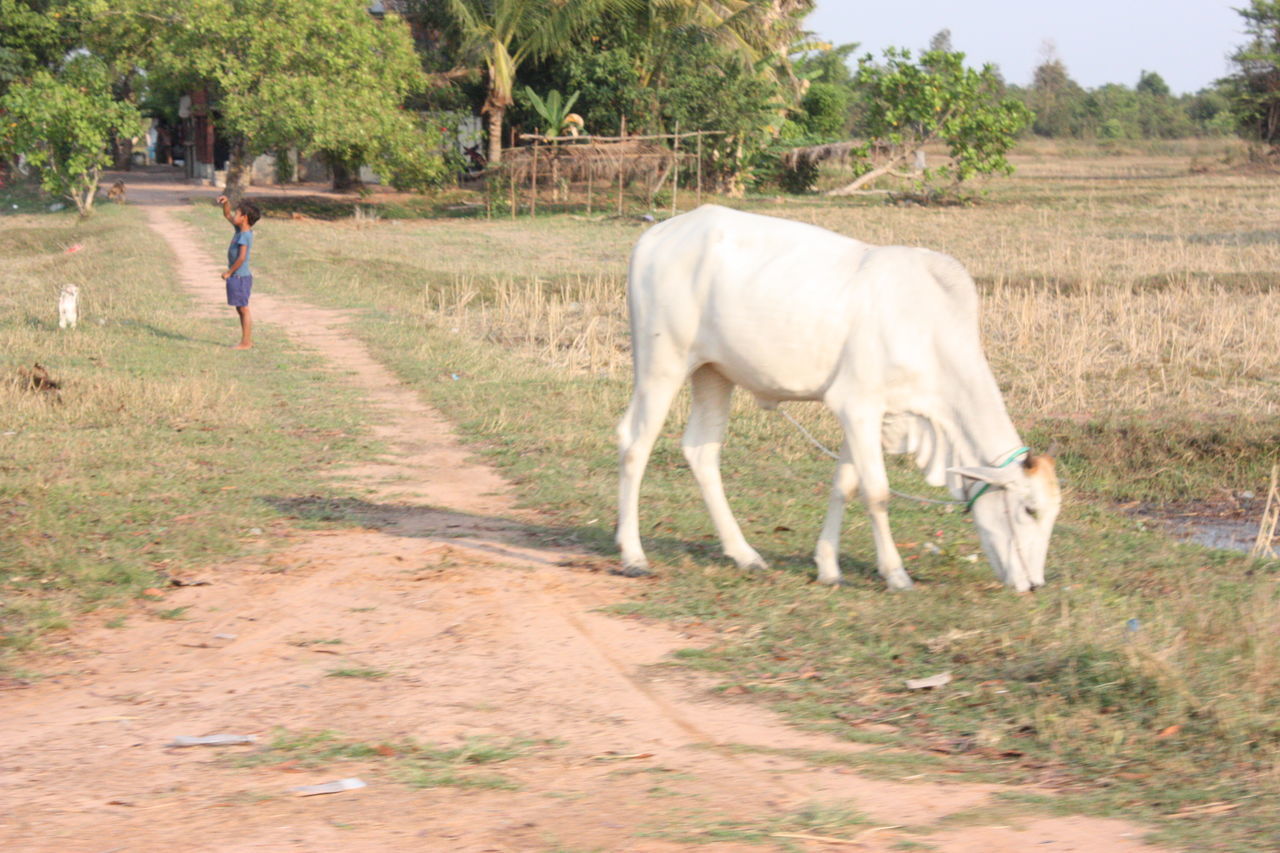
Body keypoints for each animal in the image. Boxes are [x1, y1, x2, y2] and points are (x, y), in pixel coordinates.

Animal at [616, 206, 1059, 591]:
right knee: (635, 444)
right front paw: (896, 574)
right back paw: (633, 554)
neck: (927, 328)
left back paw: (743, 553)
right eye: (1029, 509)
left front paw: (828, 567)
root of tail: (656, 235)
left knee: (701, 451)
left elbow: (844, 485)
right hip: (662, 365)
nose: (1034, 584)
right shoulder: (858, 406)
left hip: (713, 374)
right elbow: (877, 493)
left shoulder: (874, 415)